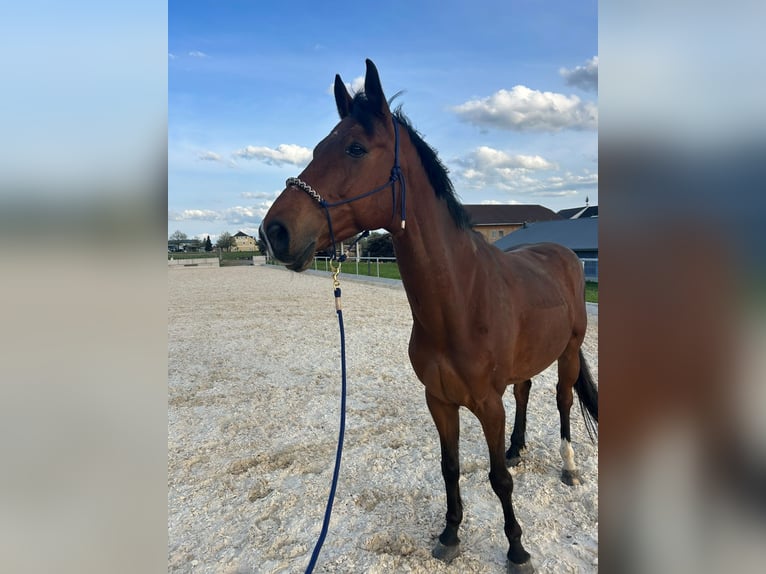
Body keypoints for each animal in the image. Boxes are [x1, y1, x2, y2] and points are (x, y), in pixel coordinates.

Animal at [259, 59, 598, 574]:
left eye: (355, 148)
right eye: (318, 148)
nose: (274, 232)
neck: (459, 299)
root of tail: (564, 254)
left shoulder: (487, 404)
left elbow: (498, 480)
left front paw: (517, 548)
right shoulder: (438, 401)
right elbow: (450, 467)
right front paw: (450, 533)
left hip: (570, 352)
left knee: (561, 402)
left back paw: (569, 467)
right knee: (525, 391)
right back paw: (518, 448)